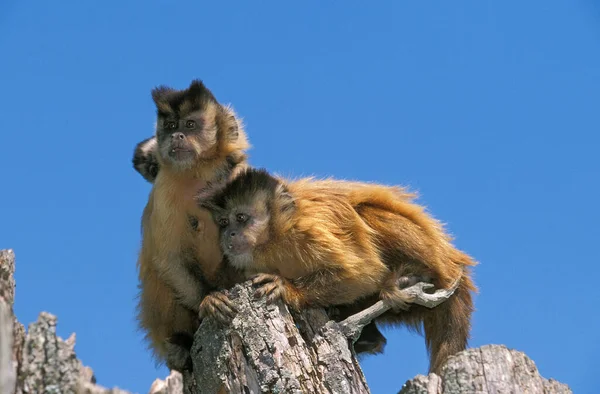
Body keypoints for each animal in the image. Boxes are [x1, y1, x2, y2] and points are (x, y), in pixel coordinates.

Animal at [135, 78, 250, 370]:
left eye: (189, 125)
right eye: (170, 125)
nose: (176, 136)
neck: (199, 173)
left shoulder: (239, 172)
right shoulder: (165, 189)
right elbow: (168, 259)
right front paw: (208, 300)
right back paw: (182, 343)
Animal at [202, 168, 478, 374]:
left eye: (241, 218)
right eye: (224, 223)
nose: (230, 234)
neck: (275, 238)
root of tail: (453, 265)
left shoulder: (311, 228)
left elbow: (364, 273)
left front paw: (288, 290)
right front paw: (212, 300)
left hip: (436, 262)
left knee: (367, 214)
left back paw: (412, 277)